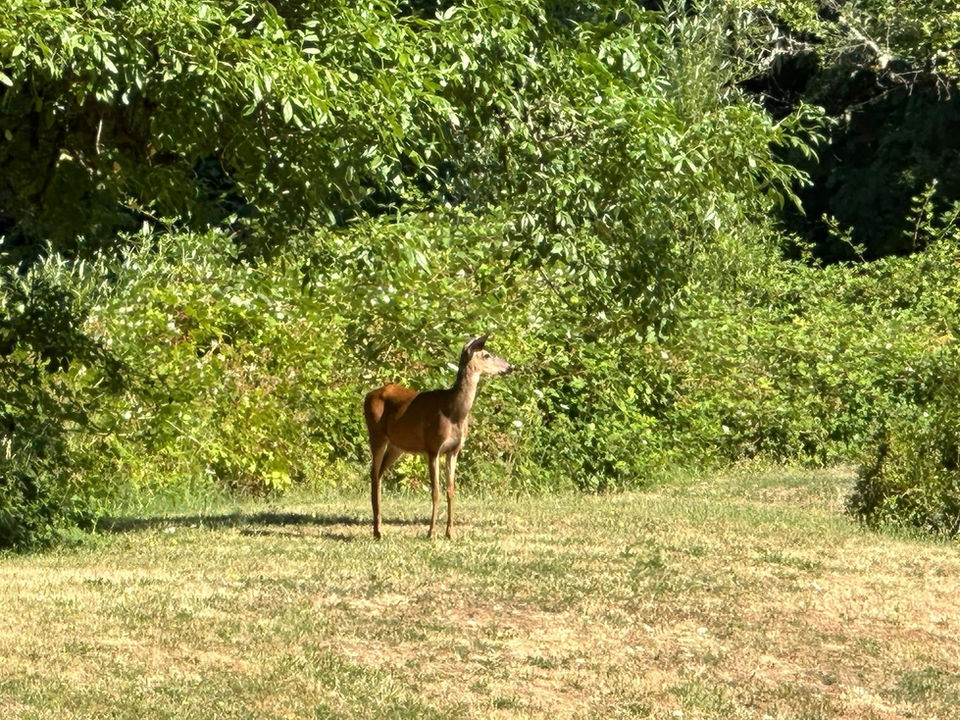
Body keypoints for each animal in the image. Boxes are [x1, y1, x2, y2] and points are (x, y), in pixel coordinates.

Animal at [363, 335, 513, 540]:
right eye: (487, 355)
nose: (510, 366)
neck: (454, 413)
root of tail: (367, 395)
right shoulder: (433, 448)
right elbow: (436, 491)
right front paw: (431, 532)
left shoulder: (454, 450)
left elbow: (450, 490)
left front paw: (450, 532)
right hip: (376, 434)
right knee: (373, 474)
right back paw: (377, 531)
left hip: (397, 445)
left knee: (379, 475)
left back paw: (379, 527)